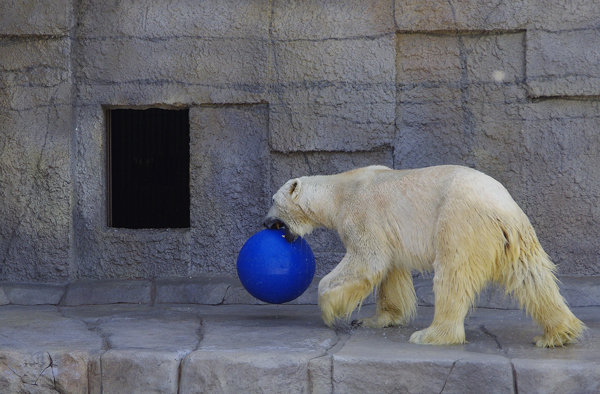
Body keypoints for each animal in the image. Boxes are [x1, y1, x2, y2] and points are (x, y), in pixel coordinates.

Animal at [264, 165, 584, 346]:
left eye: (273, 201)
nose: (265, 223)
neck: (339, 191)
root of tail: (503, 207)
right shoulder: (388, 231)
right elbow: (390, 270)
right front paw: (376, 319)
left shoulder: (362, 214)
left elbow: (368, 260)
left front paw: (332, 309)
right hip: (516, 238)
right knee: (533, 278)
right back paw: (557, 333)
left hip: (459, 222)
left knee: (453, 276)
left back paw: (432, 335)